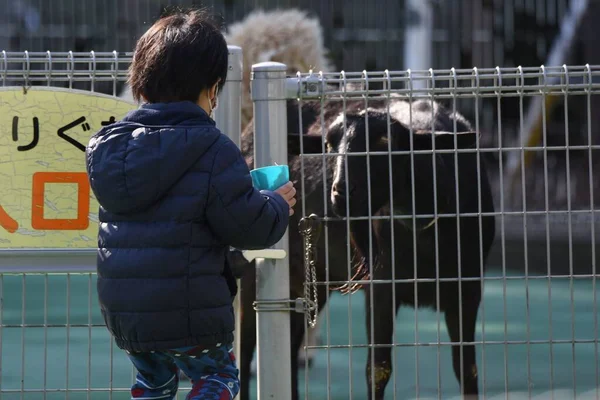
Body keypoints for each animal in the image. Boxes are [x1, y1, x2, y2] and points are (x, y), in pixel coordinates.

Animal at [324, 100, 496, 400]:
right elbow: (378, 369)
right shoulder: (380, 288)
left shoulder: (468, 289)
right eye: (329, 143)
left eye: (385, 141)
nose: (342, 192)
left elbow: (467, 368)